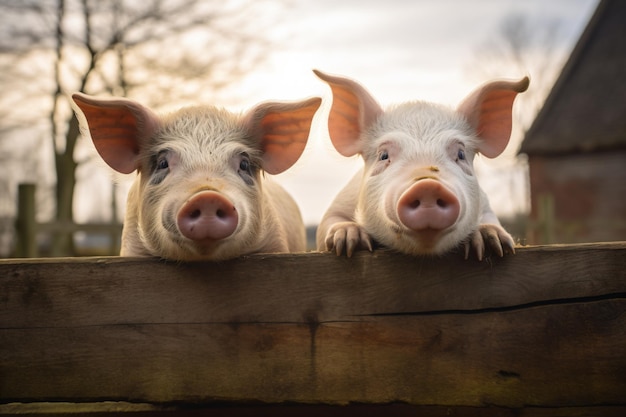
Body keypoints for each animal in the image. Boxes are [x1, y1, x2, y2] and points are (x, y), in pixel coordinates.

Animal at [312, 70, 528, 258]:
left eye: (460, 154)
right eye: (383, 155)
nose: (428, 185)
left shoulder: (485, 204)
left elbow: (492, 221)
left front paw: (490, 241)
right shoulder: (340, 203)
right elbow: (328, 223)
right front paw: (349, 240)